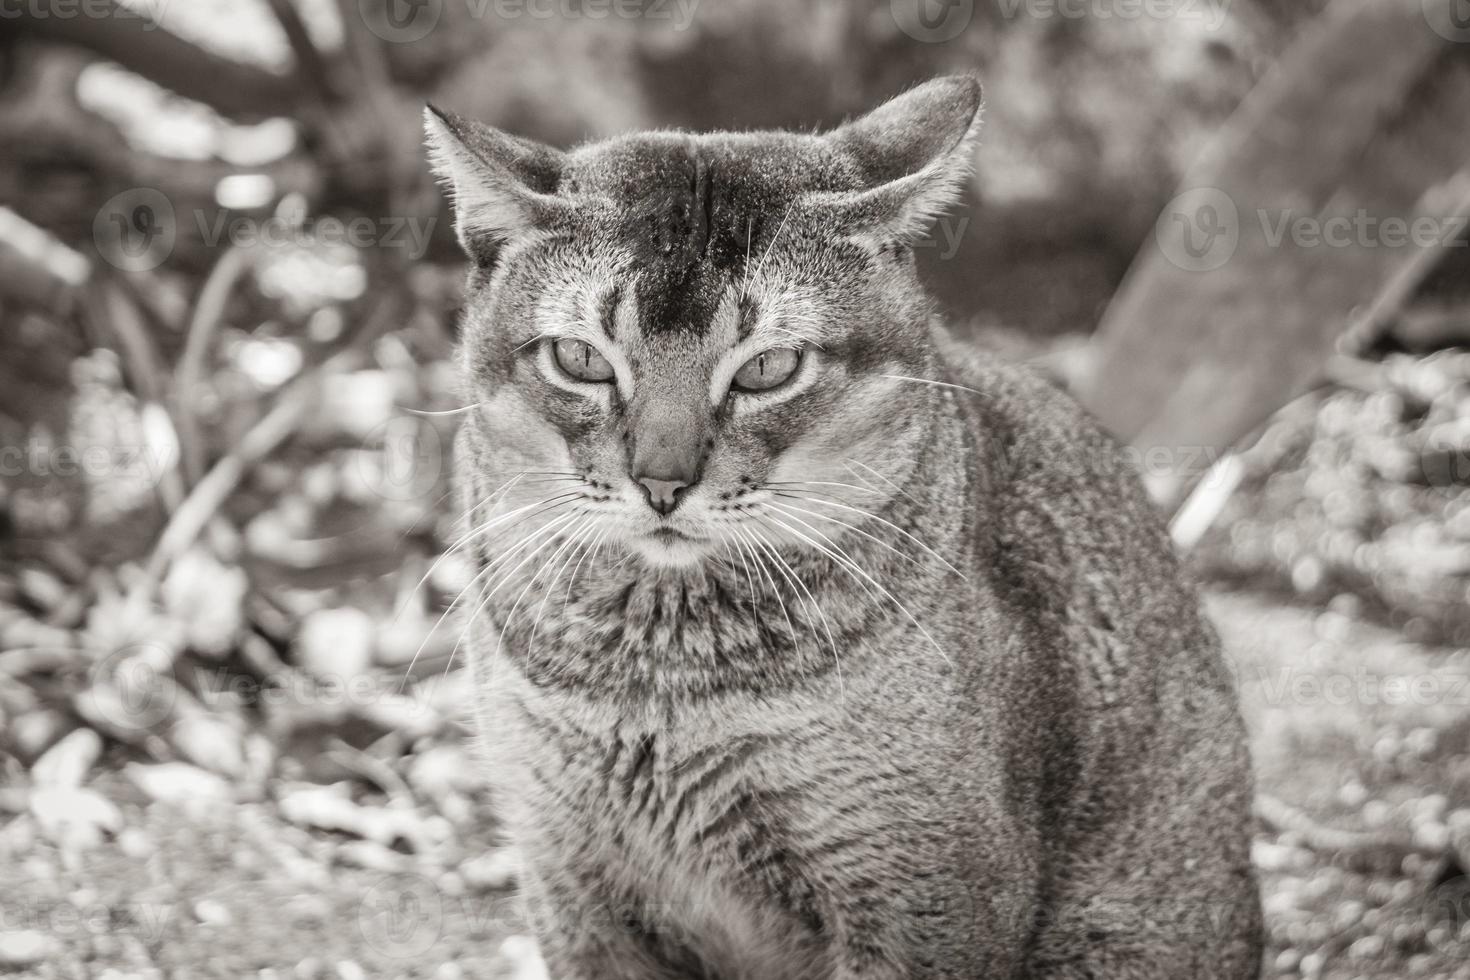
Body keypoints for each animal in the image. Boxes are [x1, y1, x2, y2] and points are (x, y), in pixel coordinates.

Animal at [426, 72, 1264, 975]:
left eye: (767, 369)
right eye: (580, 360)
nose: (661, 481)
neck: (664, 686)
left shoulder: (926, 901)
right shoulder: (570, 881)